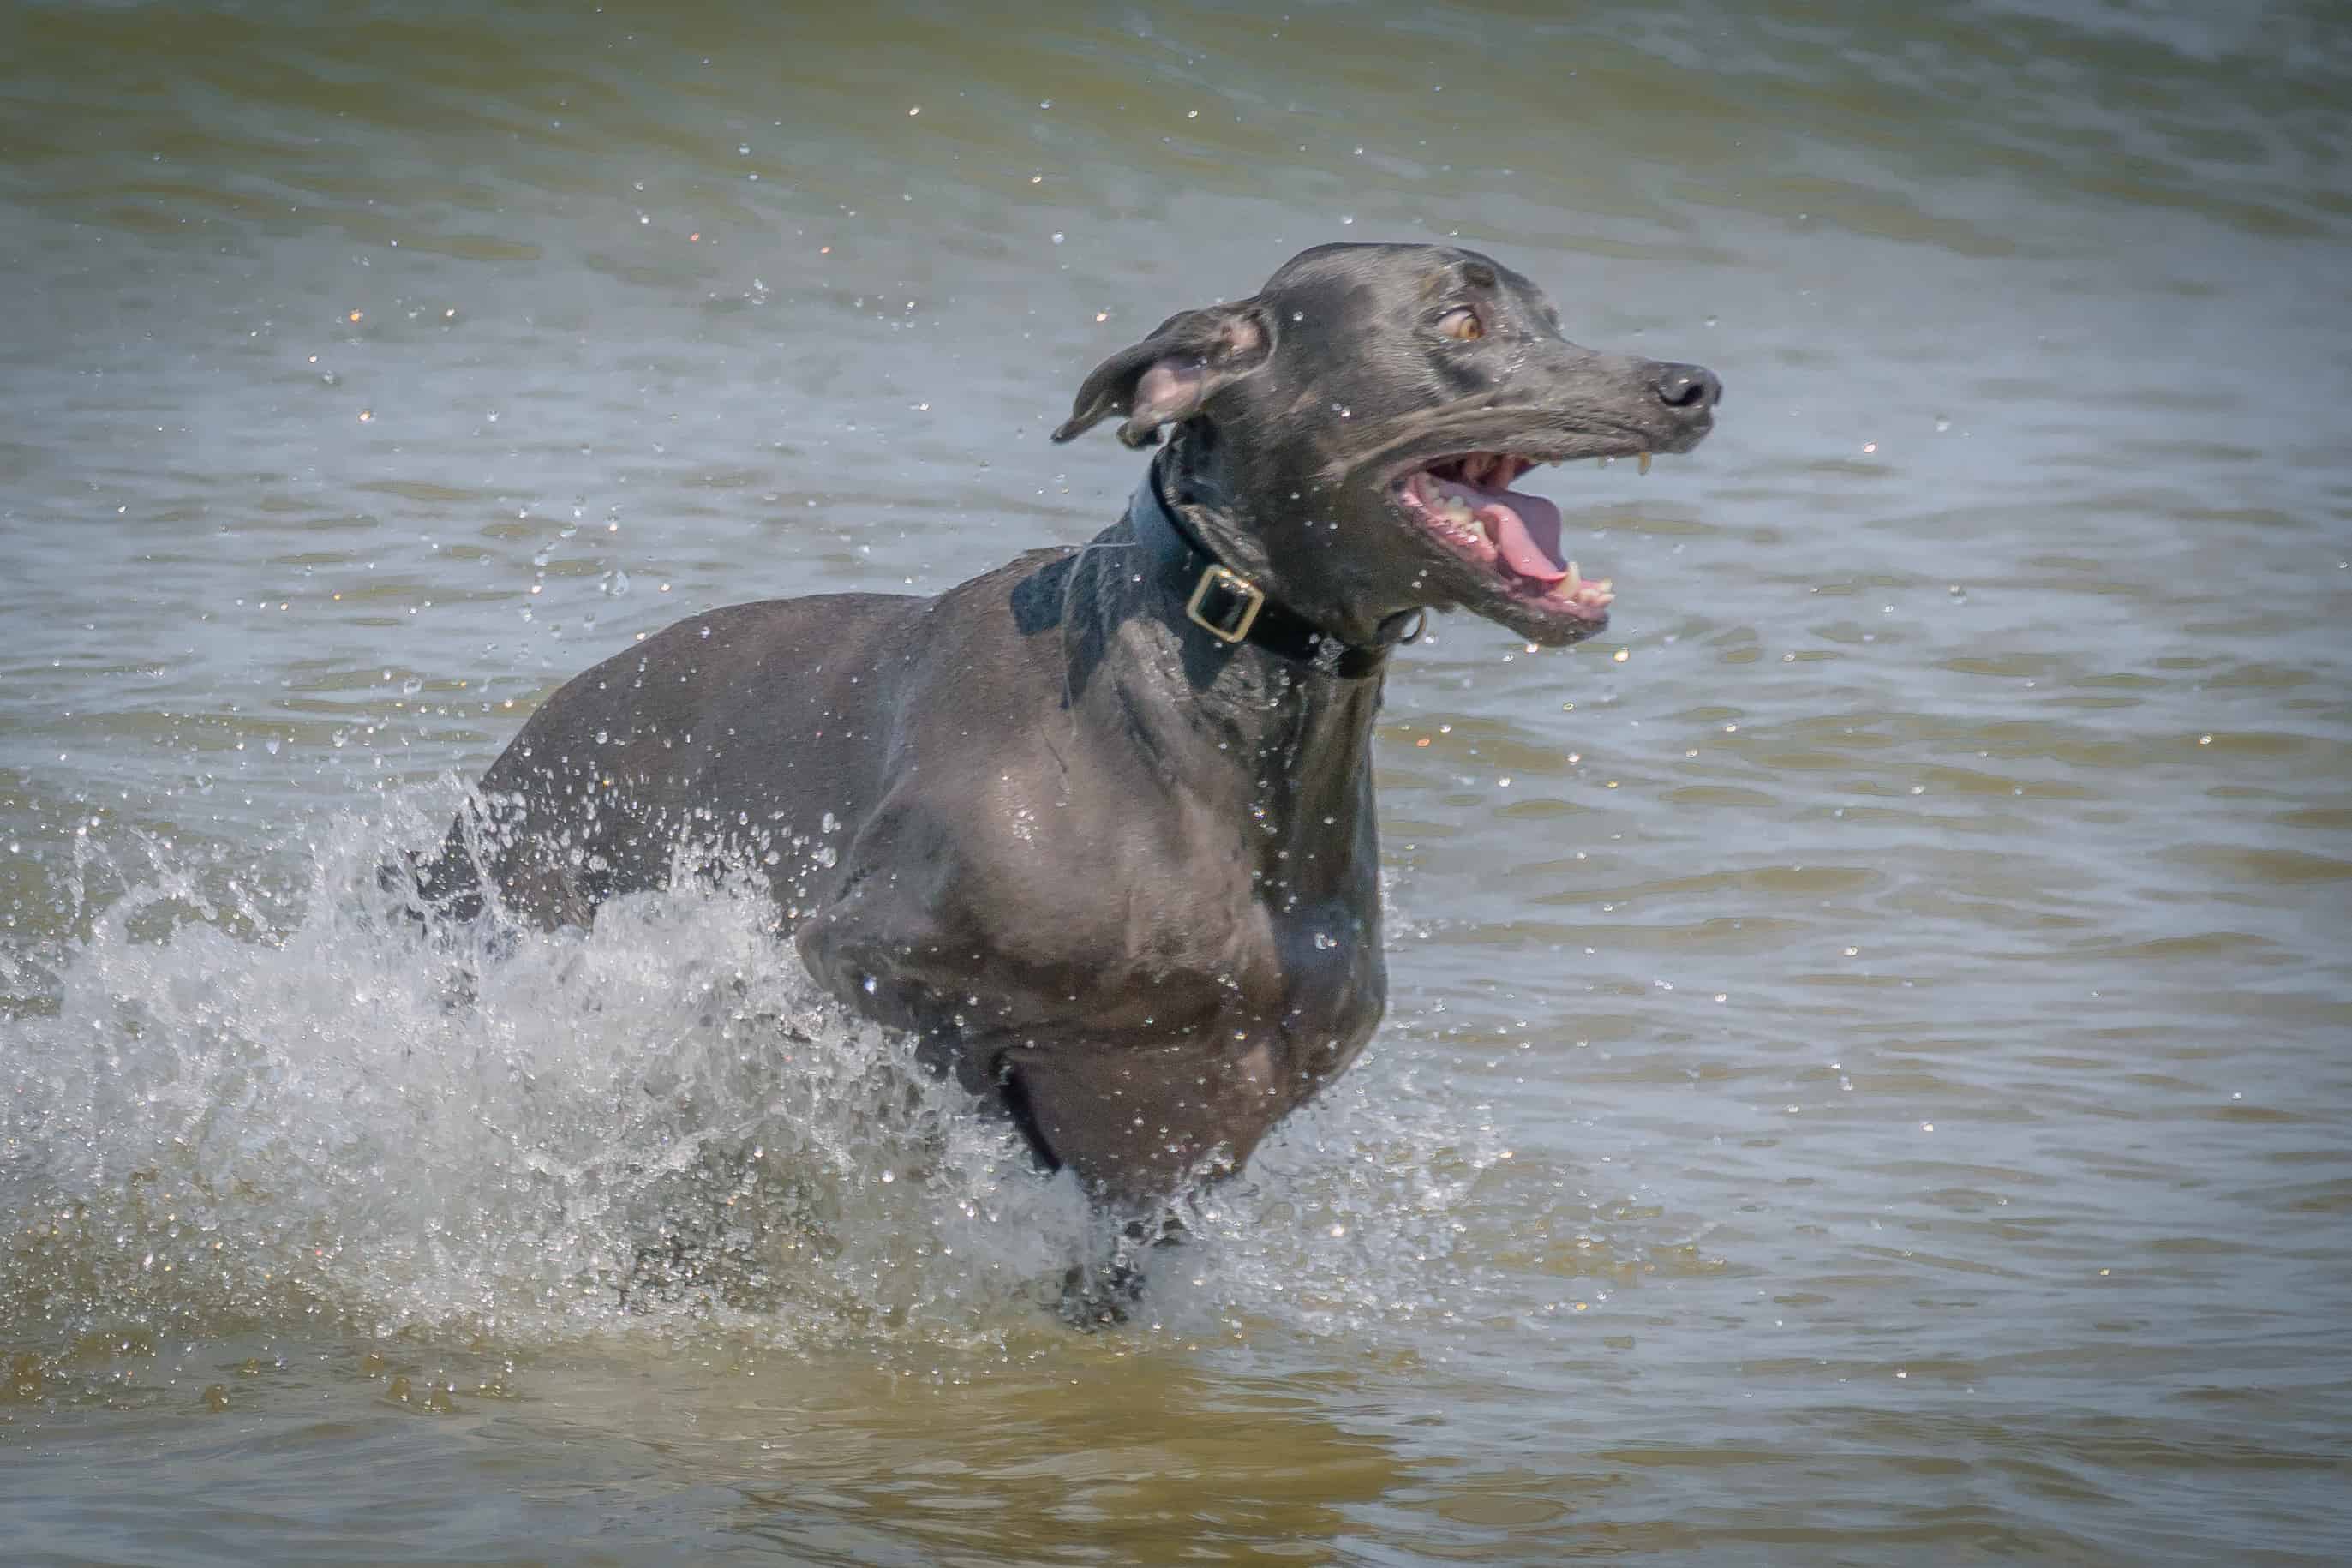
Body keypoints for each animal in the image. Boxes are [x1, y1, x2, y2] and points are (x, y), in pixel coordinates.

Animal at [414, 242, 1721, 1222]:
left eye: (1550, 316)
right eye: (1459, 321)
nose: (1691, 386)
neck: (1206, 717)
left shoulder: (1209, 1129)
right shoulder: (861, 957)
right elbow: (968, 1086)